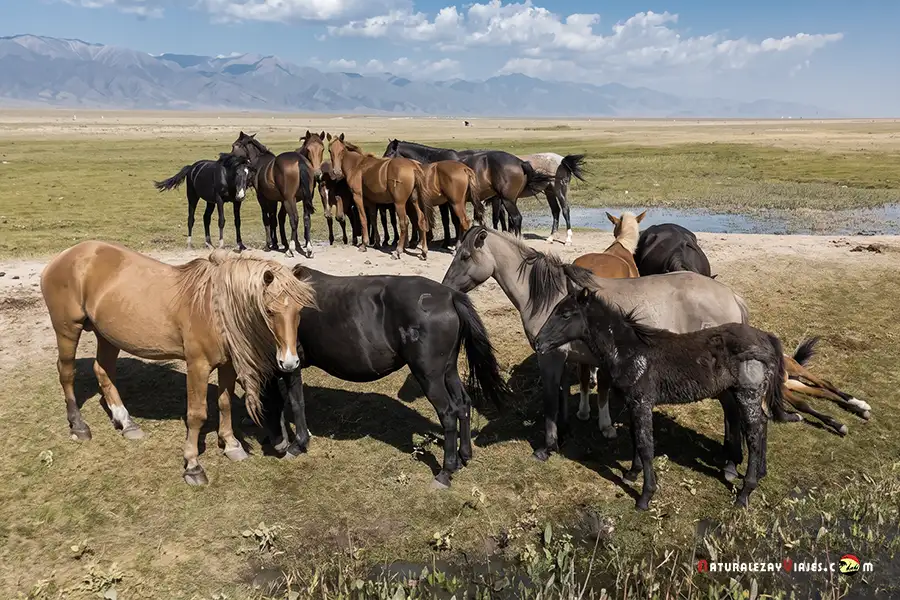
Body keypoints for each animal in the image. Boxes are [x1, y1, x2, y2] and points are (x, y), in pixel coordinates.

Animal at [40, 241, 317, 485]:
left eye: (299, 311)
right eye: (269, 311)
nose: (290, 362)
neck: (214, 309)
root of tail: (64, 256)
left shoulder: (227, 365)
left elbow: (225, 404)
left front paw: (231, 445)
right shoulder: (198, 366)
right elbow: (196, 414)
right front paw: (193, 466)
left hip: (106, 334)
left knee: (103, 371)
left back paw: (126, 423)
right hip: (68, 329)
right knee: (67, 373)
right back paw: (78, 426)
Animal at [260, 265, 510, 489]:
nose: (274, 445)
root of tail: (450, 296)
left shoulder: (290, 364)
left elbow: (295, 402)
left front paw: (296, 445)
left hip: (429, 376)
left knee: (448, 413)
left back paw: (445, 473)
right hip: (448, 370)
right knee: (463, 404)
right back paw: (464, 456)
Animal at [382, 139, 553, 238]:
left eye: (390, 152)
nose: (383, 167)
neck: (432, 163)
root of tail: (520, 162)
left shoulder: (448, 202)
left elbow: (451, 220)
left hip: (507, 200)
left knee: (516, 218)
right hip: (511, 199)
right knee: (513, 219)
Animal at [534, 287, 785, 510]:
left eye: (566, 314)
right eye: (555, 309)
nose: (538, 343)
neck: (629, 352)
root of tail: (766, 338)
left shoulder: (642, 402)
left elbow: (646, 446)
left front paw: (645, 496)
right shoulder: (633, 403)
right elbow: (636, 438)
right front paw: (632, 473)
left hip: (747, 394)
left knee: (753, 435)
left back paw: (745, 493)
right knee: (762, 424)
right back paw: (761, 473)